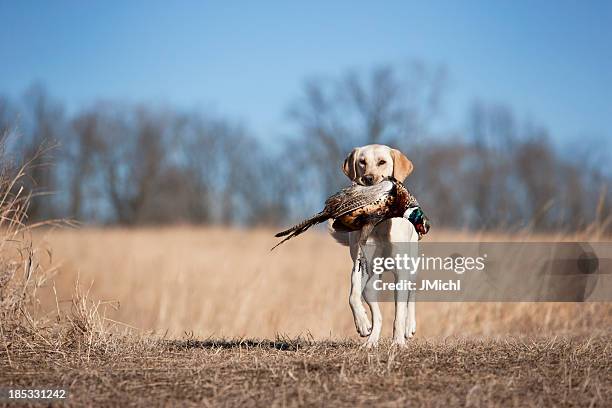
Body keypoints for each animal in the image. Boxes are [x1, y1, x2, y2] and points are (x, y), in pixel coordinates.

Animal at [330, 145, 420, 346]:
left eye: (382, 162)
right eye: (362, 162)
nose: (368, 179)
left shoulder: (401, 272)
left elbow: (399, 312)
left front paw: (398, 342)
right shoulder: (360, 265)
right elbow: (352, 296)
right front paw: (362, 324)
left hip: (411, 268)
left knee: (411, 297)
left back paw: (408, 328)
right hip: (372, 284)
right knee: (376, 312)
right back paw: (371, 341)